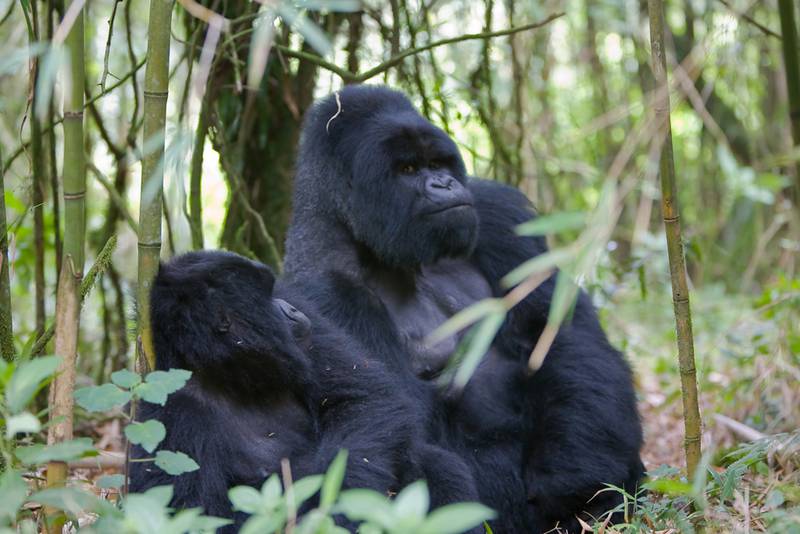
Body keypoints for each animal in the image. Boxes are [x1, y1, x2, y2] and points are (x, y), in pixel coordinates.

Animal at [130, 252, 478, 534]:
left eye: (275, 290)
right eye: (266, 295)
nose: (290, 308)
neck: (228, 375)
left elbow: (367, 401)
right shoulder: (170, 416)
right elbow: (199, 516)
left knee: (431, 460)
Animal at [282, 86, 644, 532]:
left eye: (437, 163)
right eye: (407, 169)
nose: (444, 184)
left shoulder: (496, 211)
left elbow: (558, 334)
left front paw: (576, 470)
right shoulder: (320, 290)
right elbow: (394, 415)